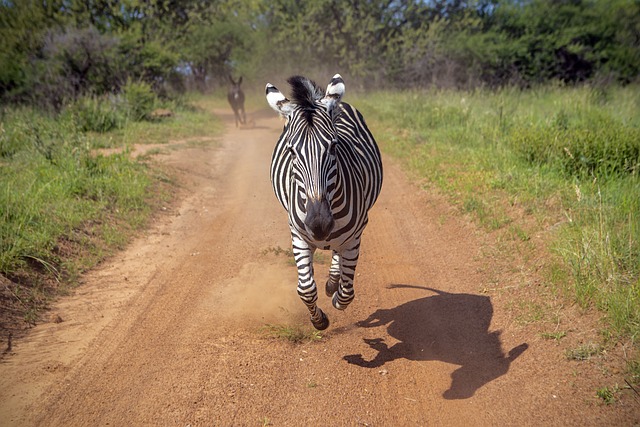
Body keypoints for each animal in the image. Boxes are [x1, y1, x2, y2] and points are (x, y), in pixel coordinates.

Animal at [266, 74, 382, 332]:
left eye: (334, 146)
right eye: (291, 151)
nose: (319, 225)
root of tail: (319, 97)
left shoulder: (355, 236)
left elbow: (347, 293)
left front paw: (336, 295)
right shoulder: (298, 235)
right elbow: (306, 289)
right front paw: (319, 320)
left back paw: (332, 282)